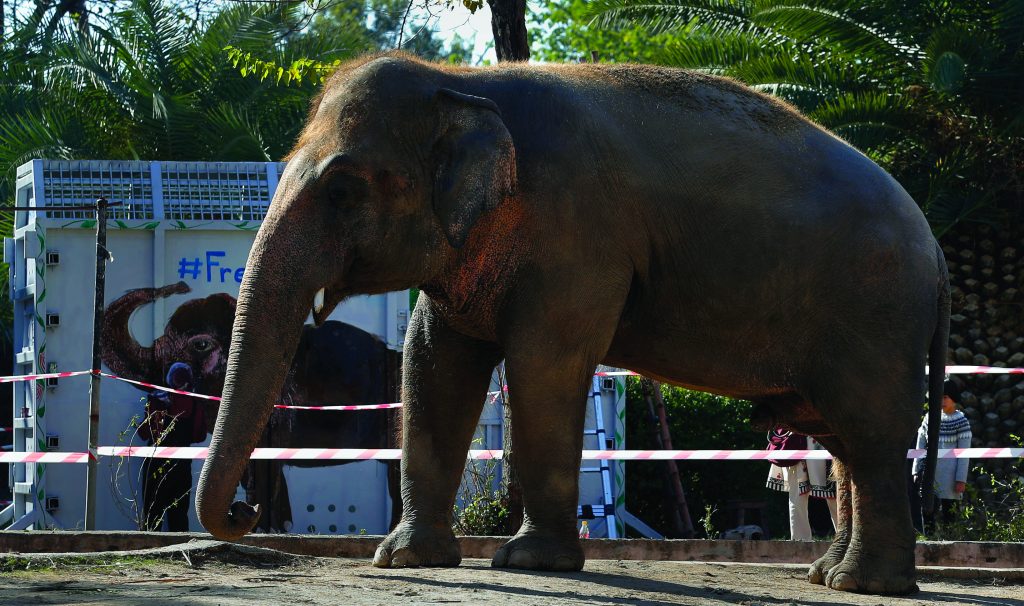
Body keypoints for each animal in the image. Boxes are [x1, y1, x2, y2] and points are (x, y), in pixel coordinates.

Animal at [195, 53, 949, 595]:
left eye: (343, 190)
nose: (247, 515)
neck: (463, 83)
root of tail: (935, 244)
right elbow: (434, 360)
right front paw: (406, 559)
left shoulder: (578, 234)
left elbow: (544, 363)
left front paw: (530, 563)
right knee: (841, 439)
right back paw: (829, 576)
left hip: (875, 312)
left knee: (868, 436)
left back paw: (865, 584)